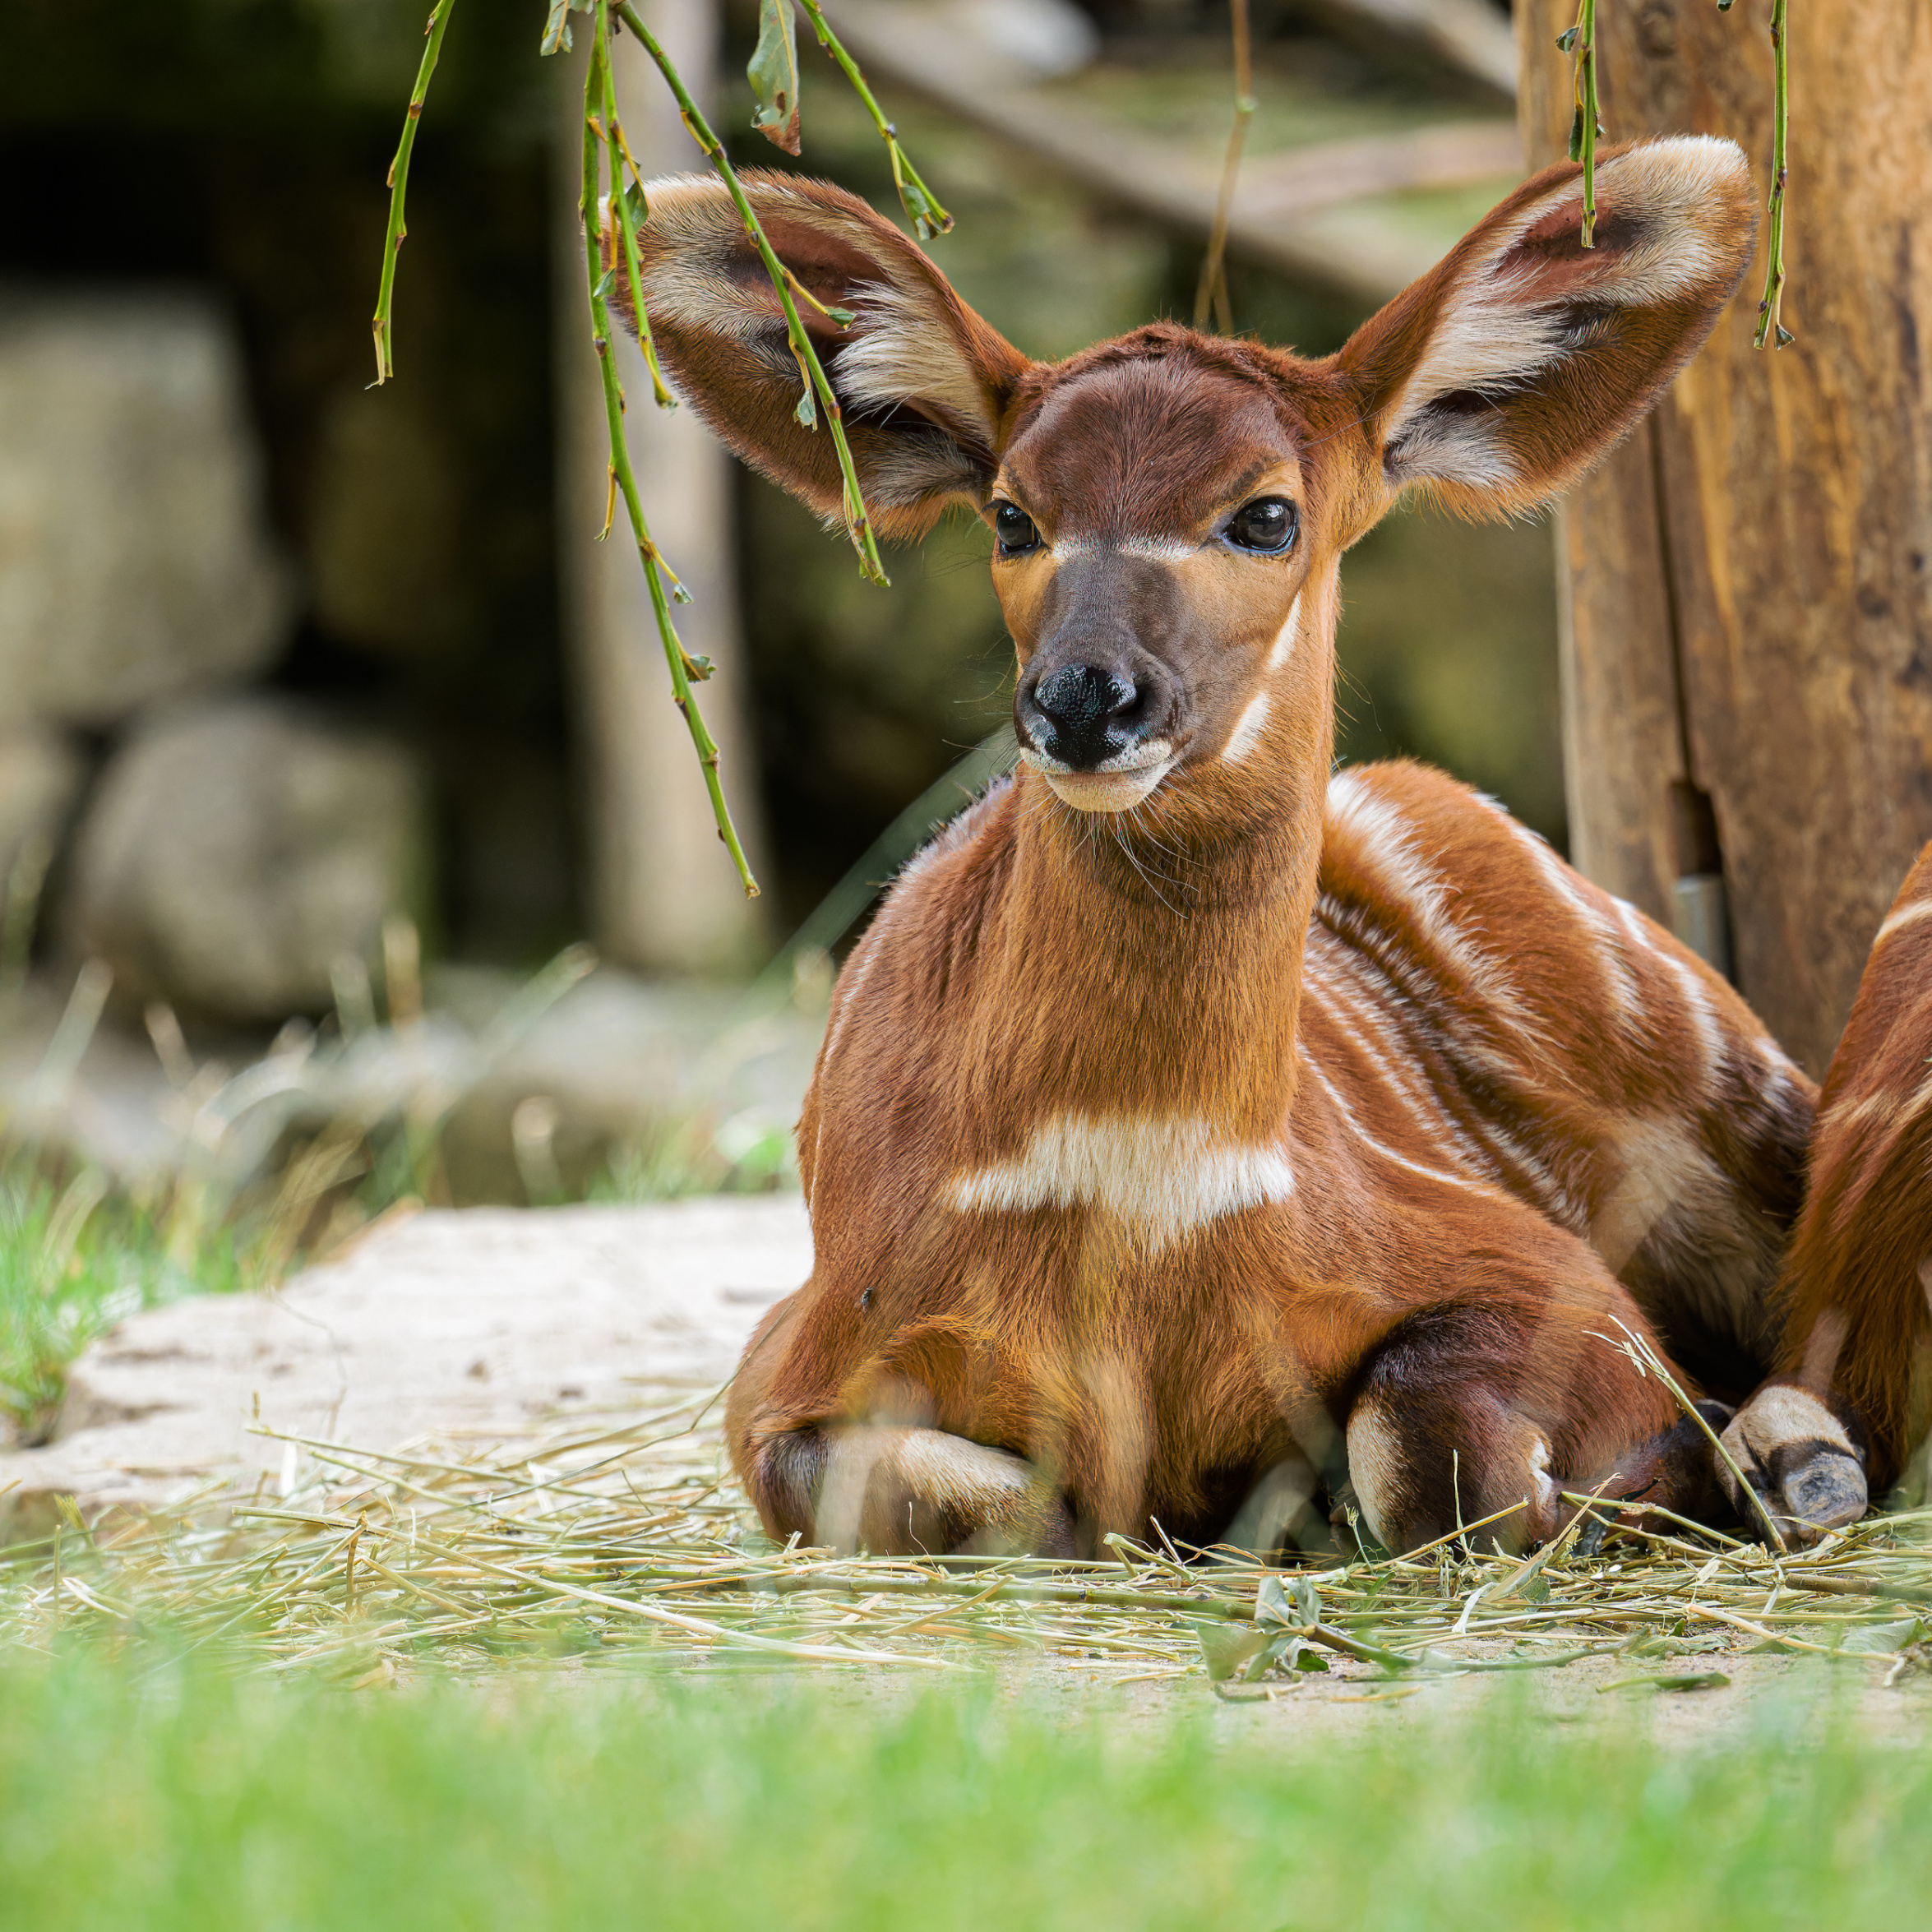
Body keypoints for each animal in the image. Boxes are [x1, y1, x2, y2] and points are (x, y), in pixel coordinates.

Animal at [626, 136, 1831, 1553]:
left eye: (1264, 515)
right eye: (1010, 515)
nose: (1083, 700)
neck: (1131, 1195)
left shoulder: (1552, 1281)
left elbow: (1438, 1451)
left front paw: (1619, 1491)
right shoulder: (787, 1376)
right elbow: (1008, 1503)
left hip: (1731, 1088)